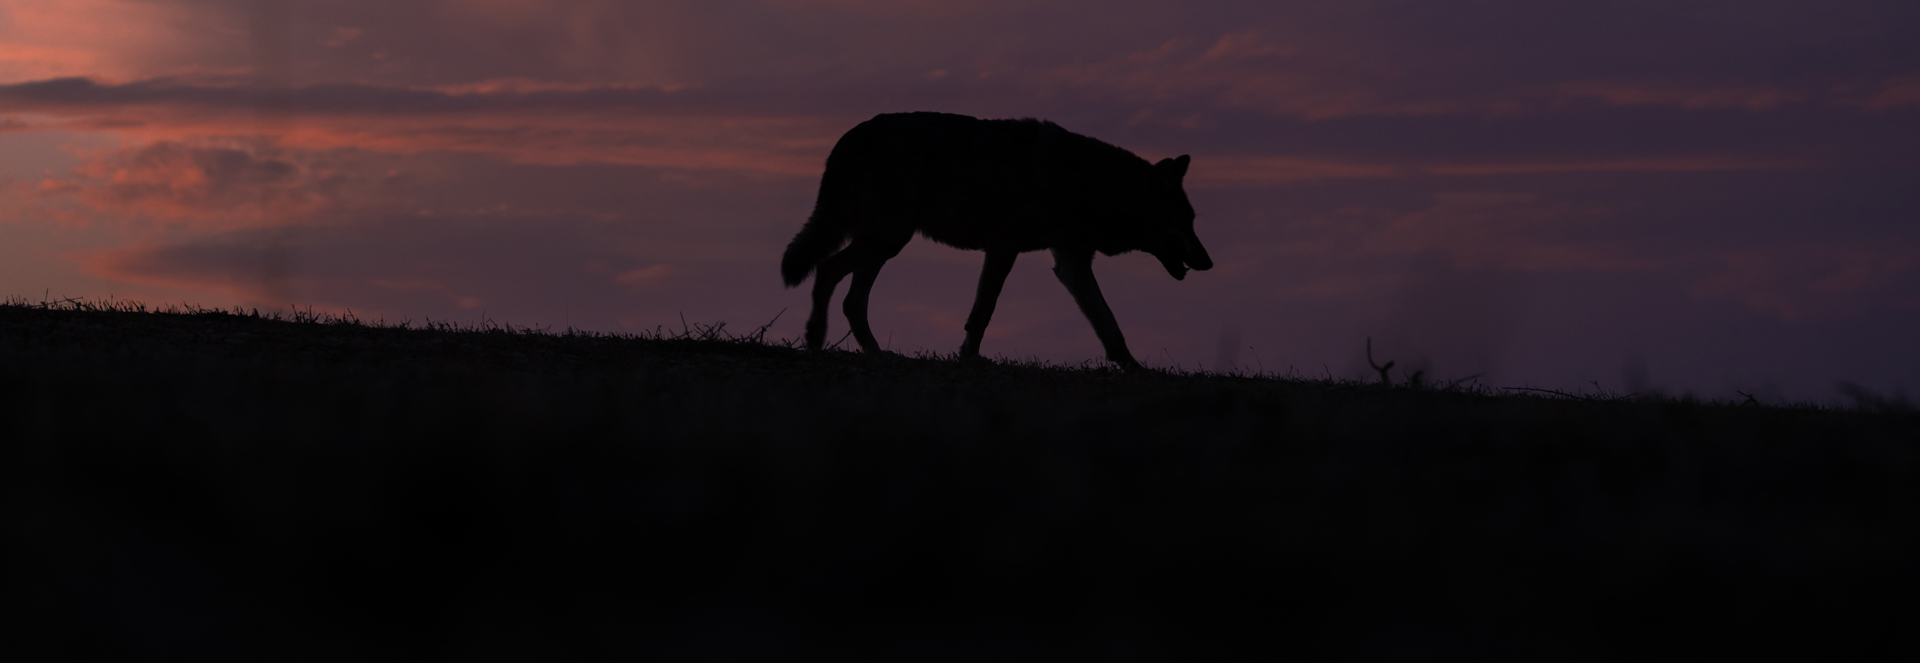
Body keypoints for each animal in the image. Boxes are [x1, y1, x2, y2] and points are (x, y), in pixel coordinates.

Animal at [780, 112, 1212, 369]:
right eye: (1188, 222)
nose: (1208, 263)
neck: (1090, 181)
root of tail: (854, 133)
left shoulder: (1071, 264)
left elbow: (1110, 326)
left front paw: (1135, 368)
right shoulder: (1005, 248)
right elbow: (982, 314)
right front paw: (969, 359)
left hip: (886, 243)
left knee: (852, 300)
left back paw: (876, 354)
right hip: (887, 239)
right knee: (826, 269)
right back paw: (815, 338)